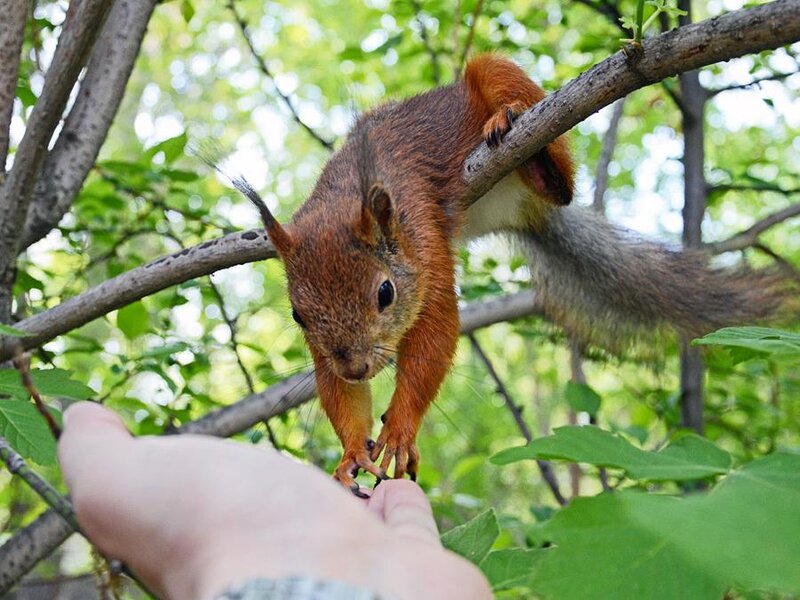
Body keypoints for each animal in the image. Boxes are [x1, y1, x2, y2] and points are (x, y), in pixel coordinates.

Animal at [234, 54, 796, 495]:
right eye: (298, 315)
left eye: (385, 292)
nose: (354, 366)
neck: (345, 199)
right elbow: (336, 390)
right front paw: (353, 450)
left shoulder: (427, 250)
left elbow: (436, 332)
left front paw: (401, 430)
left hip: (502, 82)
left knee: (560, 183)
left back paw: (514, 128)